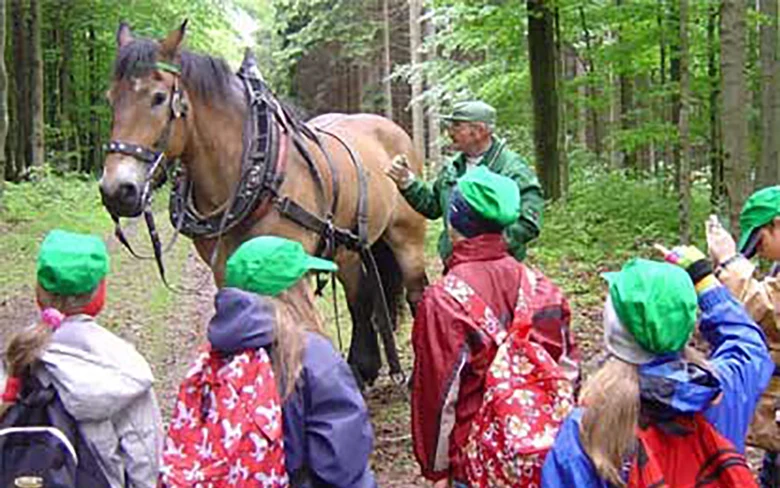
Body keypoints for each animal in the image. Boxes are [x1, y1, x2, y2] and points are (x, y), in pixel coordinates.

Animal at [98, 21, 428, 386]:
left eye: (158, 98)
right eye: (111, 99)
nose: (116, 190)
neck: (255, 166)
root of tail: (391, 127)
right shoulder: (225, 270)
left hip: (407, 236)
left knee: (416, 292)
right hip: (349, 248)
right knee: (361, 299)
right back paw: (361, 368)